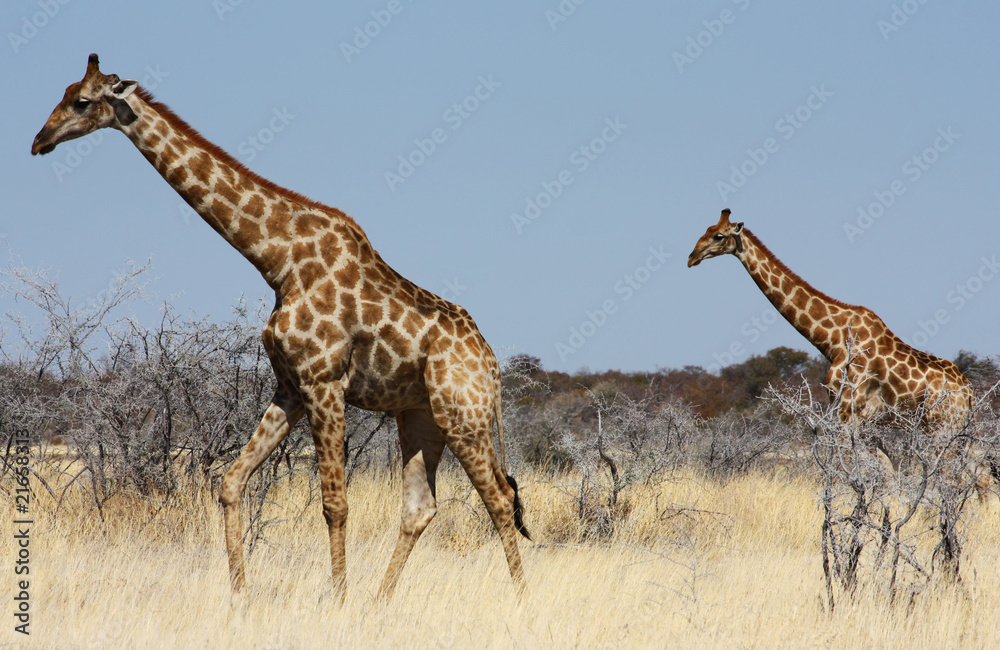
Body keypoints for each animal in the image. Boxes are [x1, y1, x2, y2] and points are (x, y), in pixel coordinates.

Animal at [31, 54, 529, 598]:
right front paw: (239, 596)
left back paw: (517, 602)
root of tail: (492, 366)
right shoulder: (290, 384)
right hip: (420, 416)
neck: (278, 261)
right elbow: (230, 482)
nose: (39, 140)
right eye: (62, 93)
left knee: (500, 500)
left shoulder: (323, 381)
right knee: (422, 507)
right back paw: (380, 604)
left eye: (82, 101)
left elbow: (335, 503)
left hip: (464, 414)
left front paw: (336, 601)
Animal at [687, 209, 974, 442]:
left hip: (943, 427)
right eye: (706, 230)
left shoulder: (847, 408)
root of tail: (969, 393)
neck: (834, 337)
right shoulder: (856, 416)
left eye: (719, 236)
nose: (691, 257)